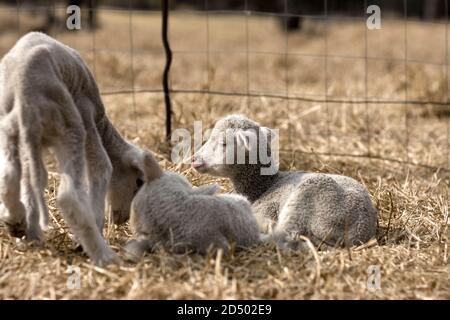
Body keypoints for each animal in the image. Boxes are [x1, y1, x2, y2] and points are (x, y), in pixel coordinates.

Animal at [0, 32, 155, 266]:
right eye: (138, 182)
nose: (122, 220)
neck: (102, 124)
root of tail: (23, 93)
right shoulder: (86, 113)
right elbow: (102, 165)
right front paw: (96, 225)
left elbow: (30, 181)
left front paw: (29, 232)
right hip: (70, 125)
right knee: (68, 195)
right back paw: (104, 256)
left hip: (10, 130)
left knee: (9, 175)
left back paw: (15, 222)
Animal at [192, 114, 378, 248]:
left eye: (224, 143)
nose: (194, 159)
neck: (262, 187)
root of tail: (358, 231)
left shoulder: (270, 209)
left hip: (307, 201)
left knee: (285, 234)